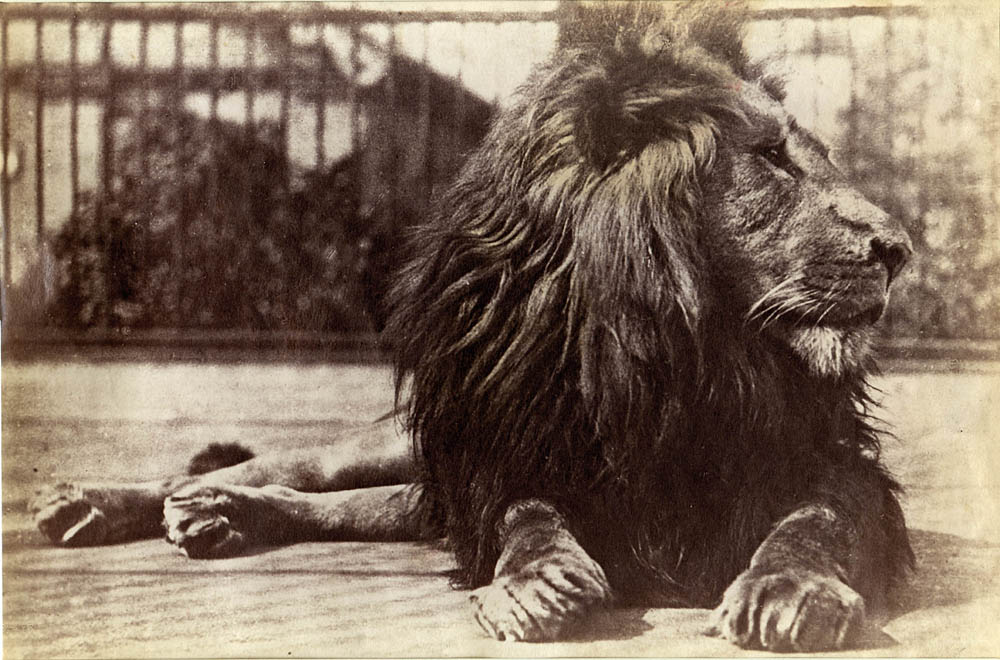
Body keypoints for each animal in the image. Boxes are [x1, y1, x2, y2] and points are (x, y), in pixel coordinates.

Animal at [32, 2, 914, 652]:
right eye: (770, 158)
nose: (899, 248)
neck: (664, 352)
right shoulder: (503, 454)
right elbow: (527, 515)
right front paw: (537, 582)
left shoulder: (829, 462)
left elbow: (815, 521)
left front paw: (789, 590)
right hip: (404, 442)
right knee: (283, 467)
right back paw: (118, 501)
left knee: (335, 501)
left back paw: (223, 517)